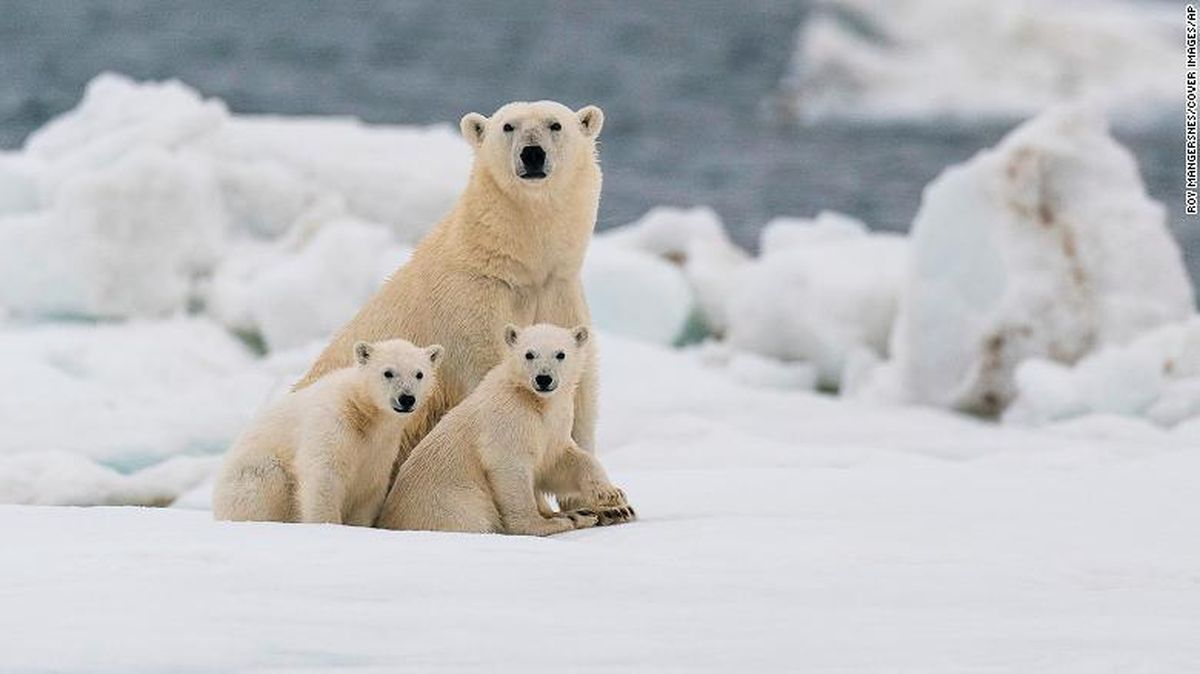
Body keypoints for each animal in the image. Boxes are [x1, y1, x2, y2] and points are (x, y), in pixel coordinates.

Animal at [213, 335, 444, 525]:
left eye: (419, 374)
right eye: (388, 372)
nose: (406, 398)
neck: (361, 412)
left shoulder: (380, 449)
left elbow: (368, 489)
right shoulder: (332, 422)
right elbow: (324, 474)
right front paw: (327, 524)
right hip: (249, 476)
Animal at [297, 98, 628, 508]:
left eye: (555, 124)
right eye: (508, 126)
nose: (532, 154)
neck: (515, 267)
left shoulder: (559, 293)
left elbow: (578, 393)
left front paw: (604, 503)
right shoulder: (473, 307)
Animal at [379, 321, 633, 534]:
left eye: (561, 354)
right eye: (529, 354)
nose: (543, 378)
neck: (536, 402)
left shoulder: (555, 424)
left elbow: (559, 460)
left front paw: (611, 495)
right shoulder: (508, 417)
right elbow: (510, 467)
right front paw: (541, 524)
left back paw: (584, 514)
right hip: (451, 502)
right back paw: (571, 517)